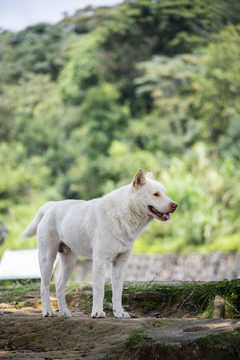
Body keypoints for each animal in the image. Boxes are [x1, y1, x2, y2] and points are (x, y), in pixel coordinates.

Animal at [22, 169, 177, 318]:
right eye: (156, 194)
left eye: (165, 193)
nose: (175, 205)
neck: (123, 213)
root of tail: (50, 205)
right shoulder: (100, 261)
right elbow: (99, 290)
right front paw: (97, 313)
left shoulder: (121, 263)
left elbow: (117, 292)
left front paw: (119, 313)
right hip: (48, 259)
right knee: (44, 287)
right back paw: (48, 312)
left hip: (69, 262)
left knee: (59, 286)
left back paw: (64, 312)